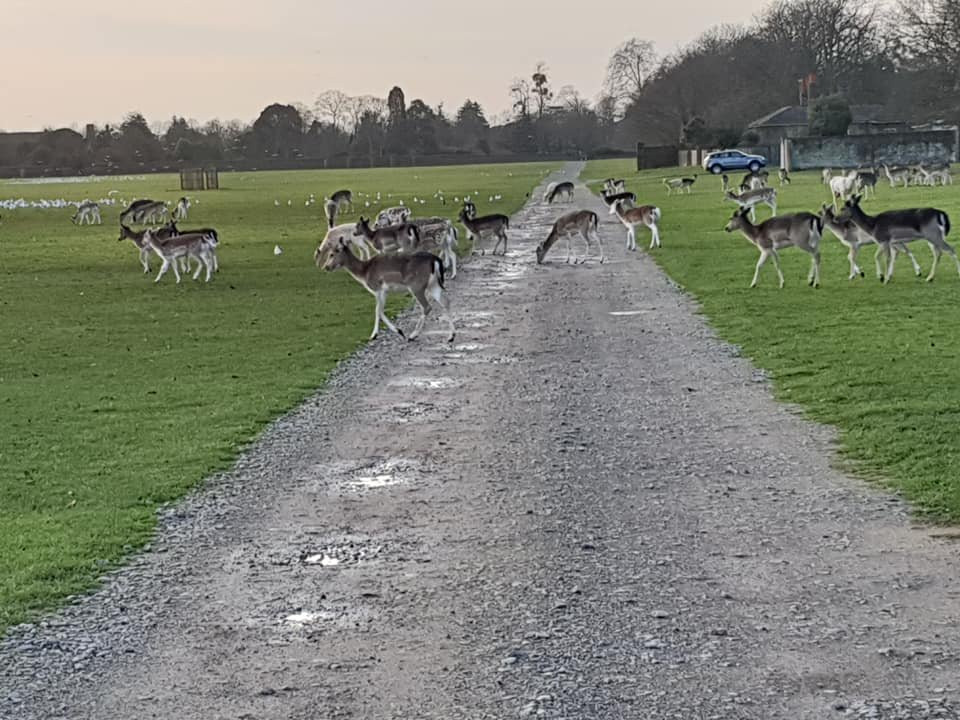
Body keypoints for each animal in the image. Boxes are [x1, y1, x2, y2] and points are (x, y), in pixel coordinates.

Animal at [316, 239, 456, 344]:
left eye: (332, 254)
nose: (326, 267)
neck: (364, 272)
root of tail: (435, 260)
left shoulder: (378, 288)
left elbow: (378, 311)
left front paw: (392, 333)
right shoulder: (385, 291)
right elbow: (379, 311)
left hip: (416, 285)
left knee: (427, 307)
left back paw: (412, 335)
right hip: (433, 284)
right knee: (446, 301)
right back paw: (451, 336)